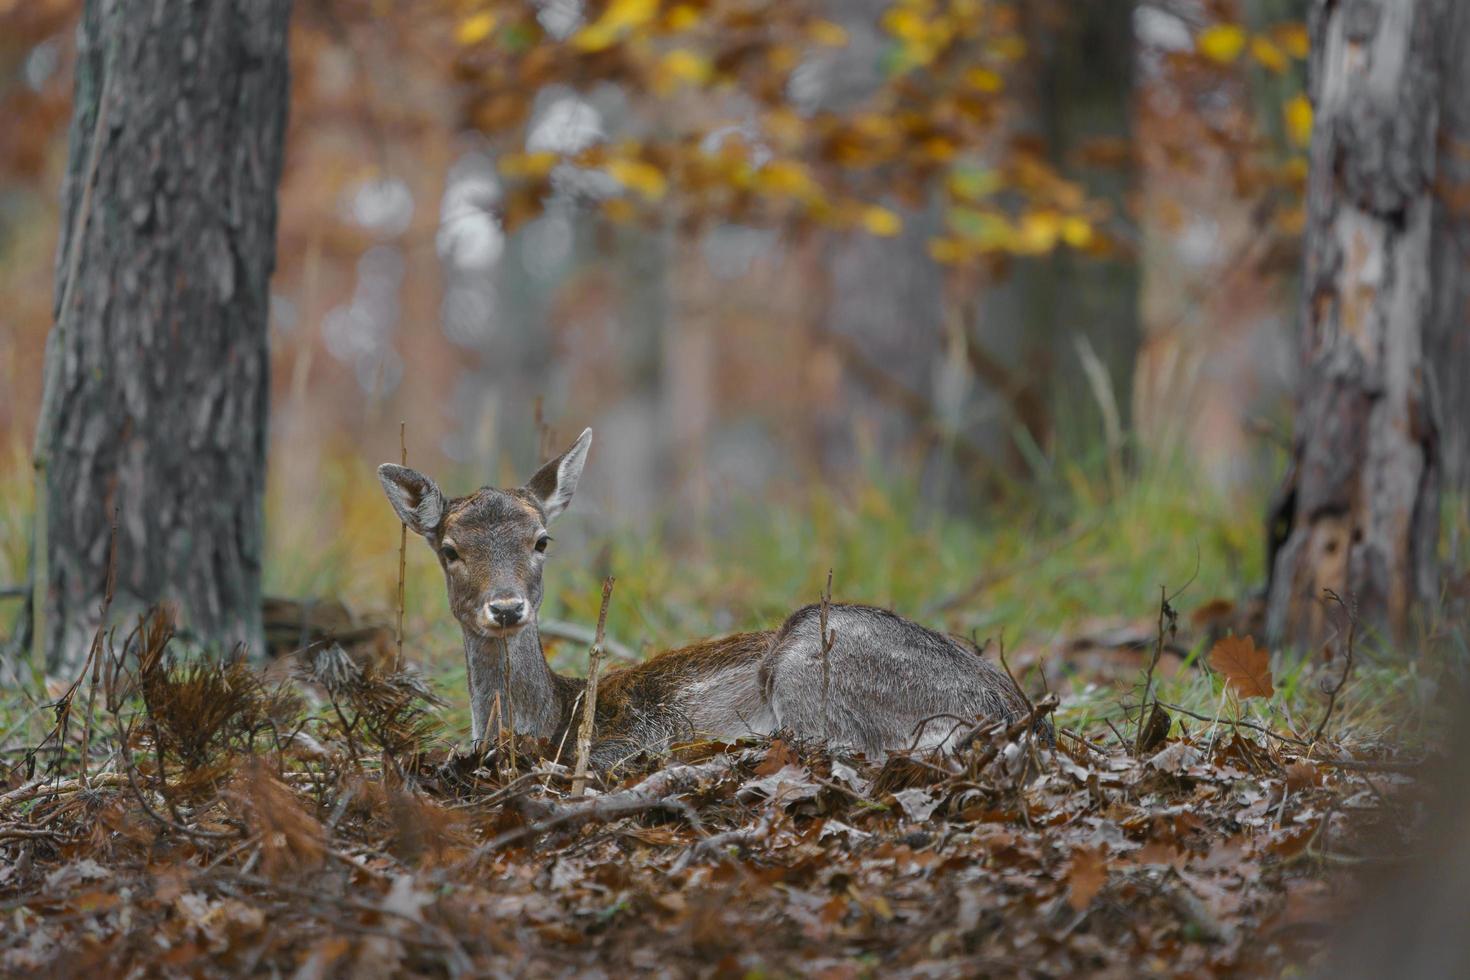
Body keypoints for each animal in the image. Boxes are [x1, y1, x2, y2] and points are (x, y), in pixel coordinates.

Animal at [379, 426, 1046, 769]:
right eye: (450, 549)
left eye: (541, 540)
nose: (507, 607)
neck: (558, 718)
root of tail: (1017, 715)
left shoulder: (629, 740)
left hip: (812, 662)